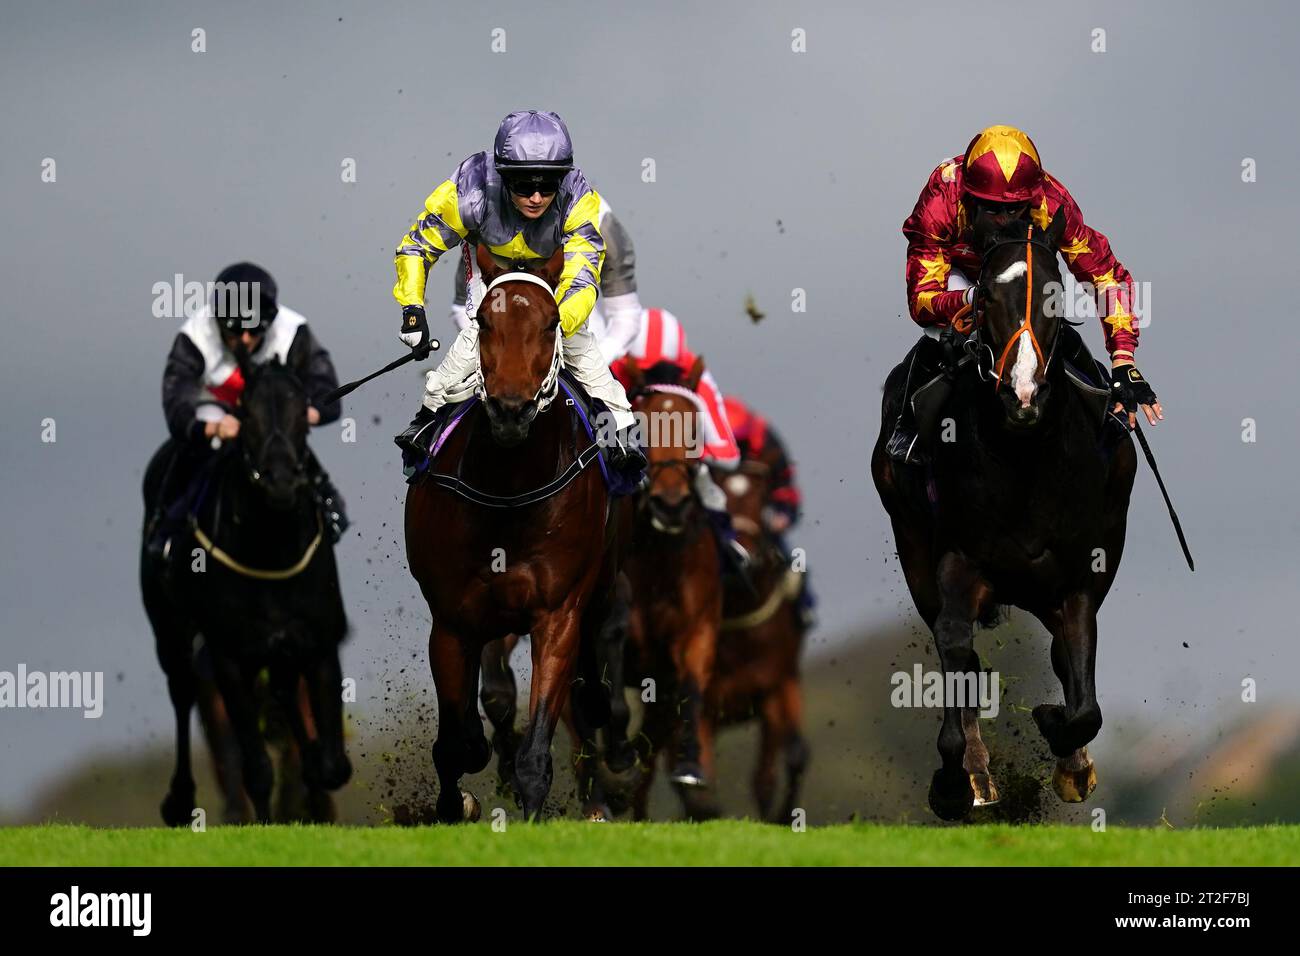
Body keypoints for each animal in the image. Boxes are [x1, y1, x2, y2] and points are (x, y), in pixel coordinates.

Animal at [141, 356, 351, 827]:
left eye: (301, 414)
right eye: (247, 416)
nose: (280, 482)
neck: (271, 551)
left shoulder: (318, 643)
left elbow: (331, 765)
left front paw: (316, 774)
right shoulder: (228, 659)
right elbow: (255, 768)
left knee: (283, 694)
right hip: (170, 633)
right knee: (182, 691)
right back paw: (180, 799)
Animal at [405, 244, 618, 822]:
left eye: (550, 324)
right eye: (484, 322)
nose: (510, 411)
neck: (509, 488)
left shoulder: (558, 616)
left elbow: (535, 754)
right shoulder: (452, 621)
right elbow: (454, 743)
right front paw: (459, 799)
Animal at [707, 455, 806, 822]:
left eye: (762, 499)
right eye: (718, 499)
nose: (741, 560)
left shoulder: (772, 691)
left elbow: (768, 776)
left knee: (797, 753)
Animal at [873, 209, 1138, 822]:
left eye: (1055, 297)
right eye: (988, 296)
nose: (1023, 396)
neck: (1023, 461)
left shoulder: (1077, 576)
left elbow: (1082, 695)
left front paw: (1064, 745)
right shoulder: (958, 560)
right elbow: (955, 648)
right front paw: (958, 780)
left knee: (1061, 657)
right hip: (914, 546)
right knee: (959, 651)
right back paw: (974, 774)